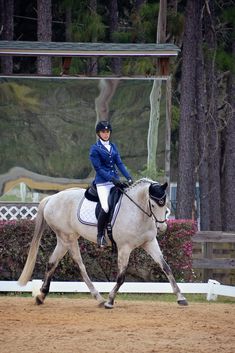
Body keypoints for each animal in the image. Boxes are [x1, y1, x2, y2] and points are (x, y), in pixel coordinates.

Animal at [17, 177, 189, 306]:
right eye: (153, 204)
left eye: (165, 203)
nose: (162, 227)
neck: (137, 211)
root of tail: (51, 198)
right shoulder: (125, 247)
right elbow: (121, 276)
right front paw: (110, 301)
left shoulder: (150, 243)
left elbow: (166, 268)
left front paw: (181, 298)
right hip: (68, 238)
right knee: (80, 265)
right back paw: (99, 299)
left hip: (64, 240)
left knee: (52, 262)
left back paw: (41, 296)